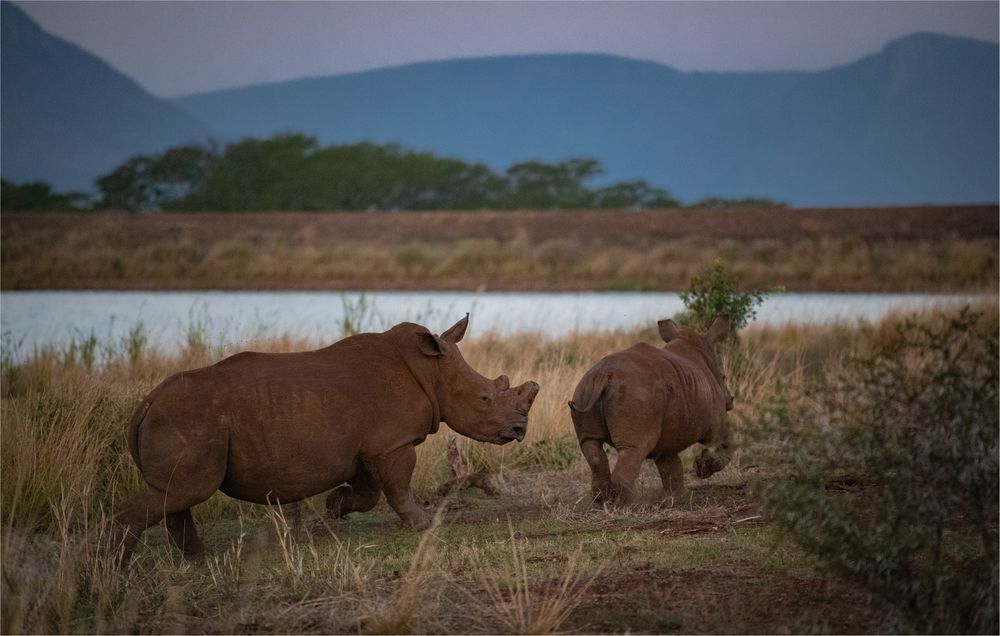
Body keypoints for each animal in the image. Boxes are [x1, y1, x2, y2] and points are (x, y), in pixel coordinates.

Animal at [115, 316, 540, 560]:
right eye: (485, 398)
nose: (520, 431)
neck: (431, 370)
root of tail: (147, 403)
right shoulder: (392, 442)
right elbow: (398, 487)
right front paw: (424, 524)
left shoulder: (372, 445)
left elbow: (369, 493)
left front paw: (333, 508)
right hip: (188, 418)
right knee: (186, 491)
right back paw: (118, 565)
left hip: (182, 418)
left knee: (177, 494)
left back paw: (198, 559)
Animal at [572, 318, 736, 506]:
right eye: (724, 377)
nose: (731, 401)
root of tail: (602, 376)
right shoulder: (716, 421)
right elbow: (726, 443)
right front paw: (703, 469)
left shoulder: (667, 434)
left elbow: (670, 465)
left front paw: (677, 498)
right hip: (635, 394)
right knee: (634, 448)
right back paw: (633, 506)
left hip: (583, 390)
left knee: (591, 445)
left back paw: (603, 503)